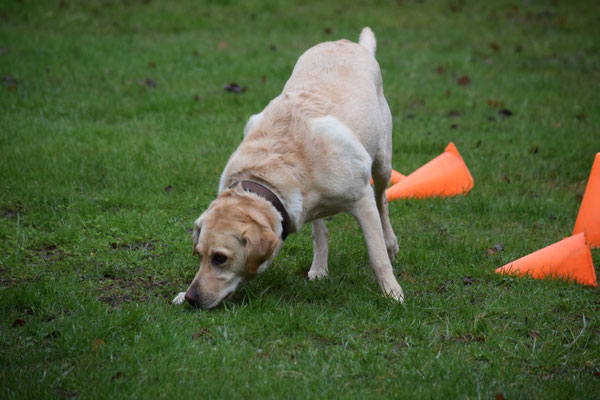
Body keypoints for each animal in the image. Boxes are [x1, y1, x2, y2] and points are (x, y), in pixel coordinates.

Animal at [172, 28, 404, 310]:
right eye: (198, 254)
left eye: (220, 258)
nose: (192, 298)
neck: (269, 176)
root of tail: (349, 43)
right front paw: (181, 294)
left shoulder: (362, 200)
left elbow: (376, 255)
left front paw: (392, 293)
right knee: (320, 229)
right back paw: (319, 267)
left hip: (383, 163)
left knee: (382, 200)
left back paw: (390, 244)